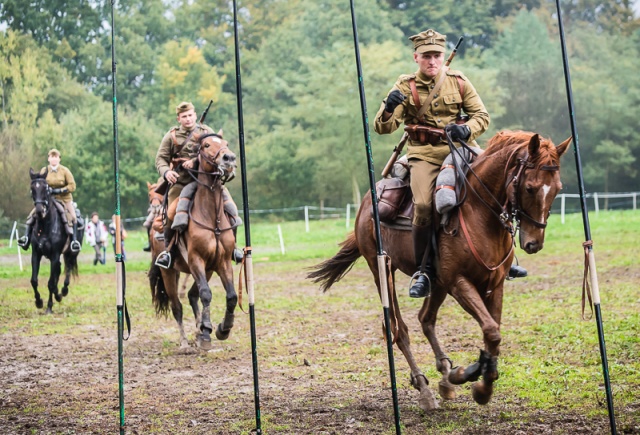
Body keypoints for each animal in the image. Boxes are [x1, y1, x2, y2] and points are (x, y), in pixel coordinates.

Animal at [25, 169, 83, 316]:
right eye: (32, 188)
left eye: (46, 188)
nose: (39, 210)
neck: (45, 226)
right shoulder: (36, 254)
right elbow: (34, 280)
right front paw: (39, 302)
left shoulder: (55, 254)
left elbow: (50, 282)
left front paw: (49, 307)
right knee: (59, 269)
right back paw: (58, 294)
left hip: (71, 253)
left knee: (67, 269)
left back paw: (63, 291)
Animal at [149, 131, 239, 350]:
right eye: (206, 145)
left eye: (225, 143)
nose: (229, 158)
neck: (212, 217)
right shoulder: (196, 259)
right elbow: (206, 294)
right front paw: (206, 333)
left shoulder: (222, 262)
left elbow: (231, 296)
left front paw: (222, 329)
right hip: (169, 273)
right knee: (176, 305)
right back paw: (184, 341)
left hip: (207, 270)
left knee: (191, 295)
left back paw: (198, 331)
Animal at [308, 131, 568, 410]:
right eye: (530, 187)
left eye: (557, 189)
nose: (534, 243)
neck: (480, 212)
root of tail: (368, 200)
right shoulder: (459, 283)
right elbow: (491, 330)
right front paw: (480, 385)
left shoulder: (494, 284)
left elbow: (493, 334)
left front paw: (476, 377)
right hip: (383, 271)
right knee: (398, 330)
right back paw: (424, 388)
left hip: (437, 283)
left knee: (426, 319)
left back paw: (446, 375)